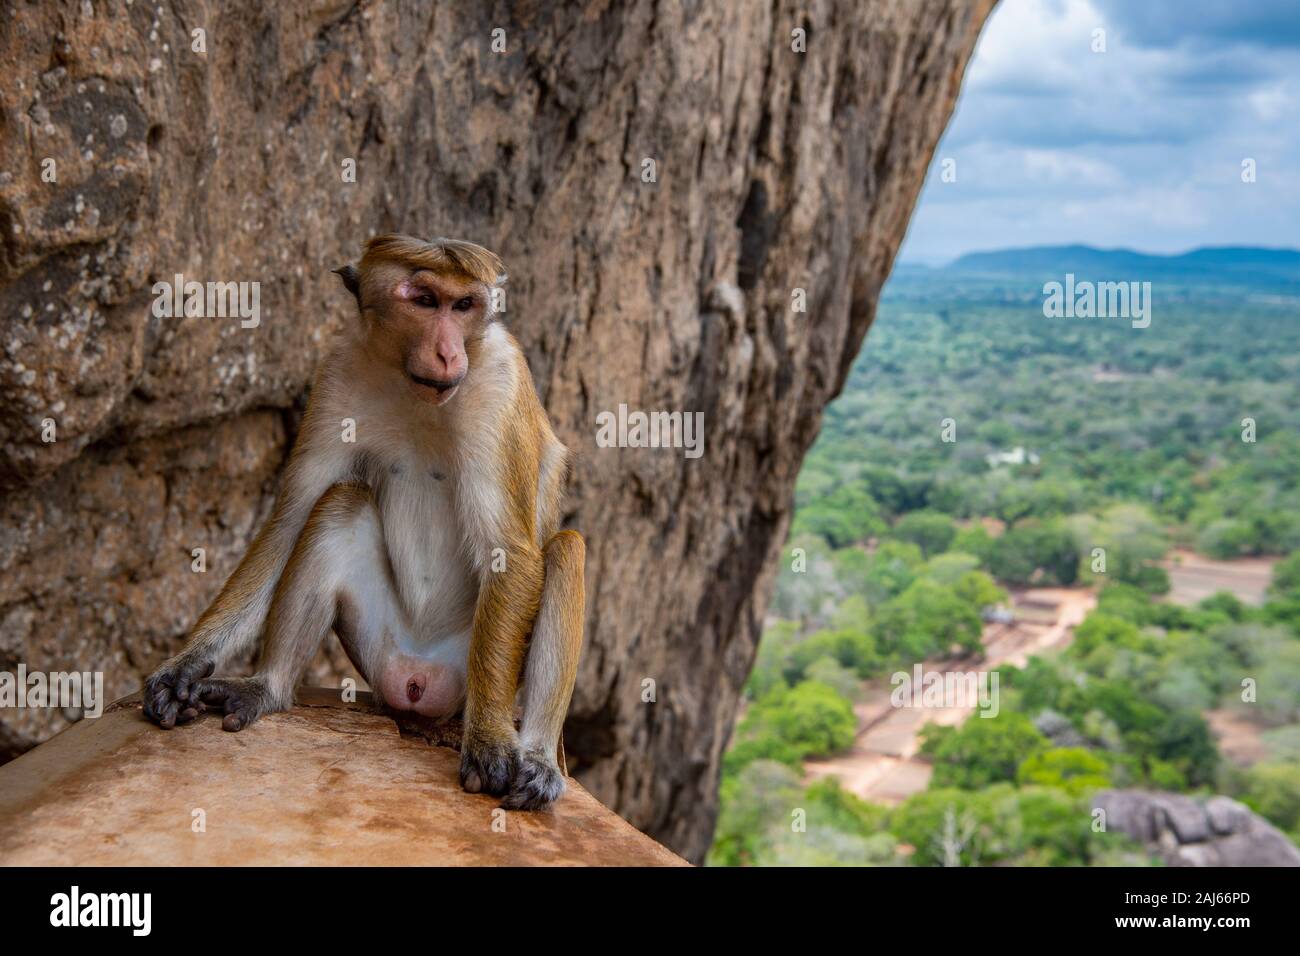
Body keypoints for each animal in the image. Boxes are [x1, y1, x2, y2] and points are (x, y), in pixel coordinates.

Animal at [142, 234, 585, 811]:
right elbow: (291, 519)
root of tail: (419, 680)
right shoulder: (339, 369)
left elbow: (510, 553)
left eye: (464, 305)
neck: (413, 387)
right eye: (425, 300)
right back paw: (268, 688)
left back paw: (536, 759)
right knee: (340, 502)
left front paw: (489, 738)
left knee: (565, 549)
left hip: (466, 673)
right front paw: (187, 663)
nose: (450, 352)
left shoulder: (499, 385)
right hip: (379, 651)